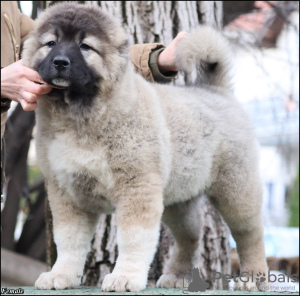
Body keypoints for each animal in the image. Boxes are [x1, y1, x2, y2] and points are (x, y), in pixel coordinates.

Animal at [22, 1, 268, 294]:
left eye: (85, 47)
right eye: (51, 43)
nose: (60, 61)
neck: (80, 115)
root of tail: (216, 91)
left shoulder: (136, 187)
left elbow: (133, 239)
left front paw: (125, 277)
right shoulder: (66, 192)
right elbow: (69, 240)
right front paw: (62, 275)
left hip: (236, 190)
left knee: (249, 234)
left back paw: (253, 279)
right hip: (178, 200)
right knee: (190, 235)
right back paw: (177, 275)